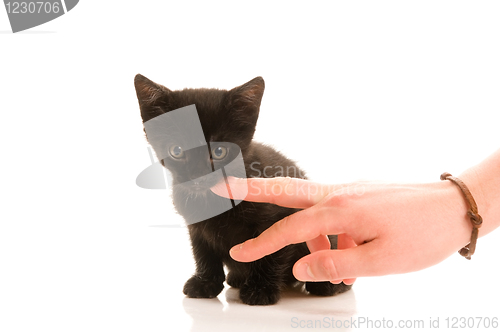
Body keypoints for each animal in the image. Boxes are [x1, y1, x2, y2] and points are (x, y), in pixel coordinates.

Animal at [133, 74, 352, 304]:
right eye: (176, 151)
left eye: (219, 151)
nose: (198, 175)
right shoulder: (196, 225)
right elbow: (203, 252)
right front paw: (205, 283)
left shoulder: (280, 217)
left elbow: (269, 251)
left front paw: (260, 290)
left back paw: (329, 284)